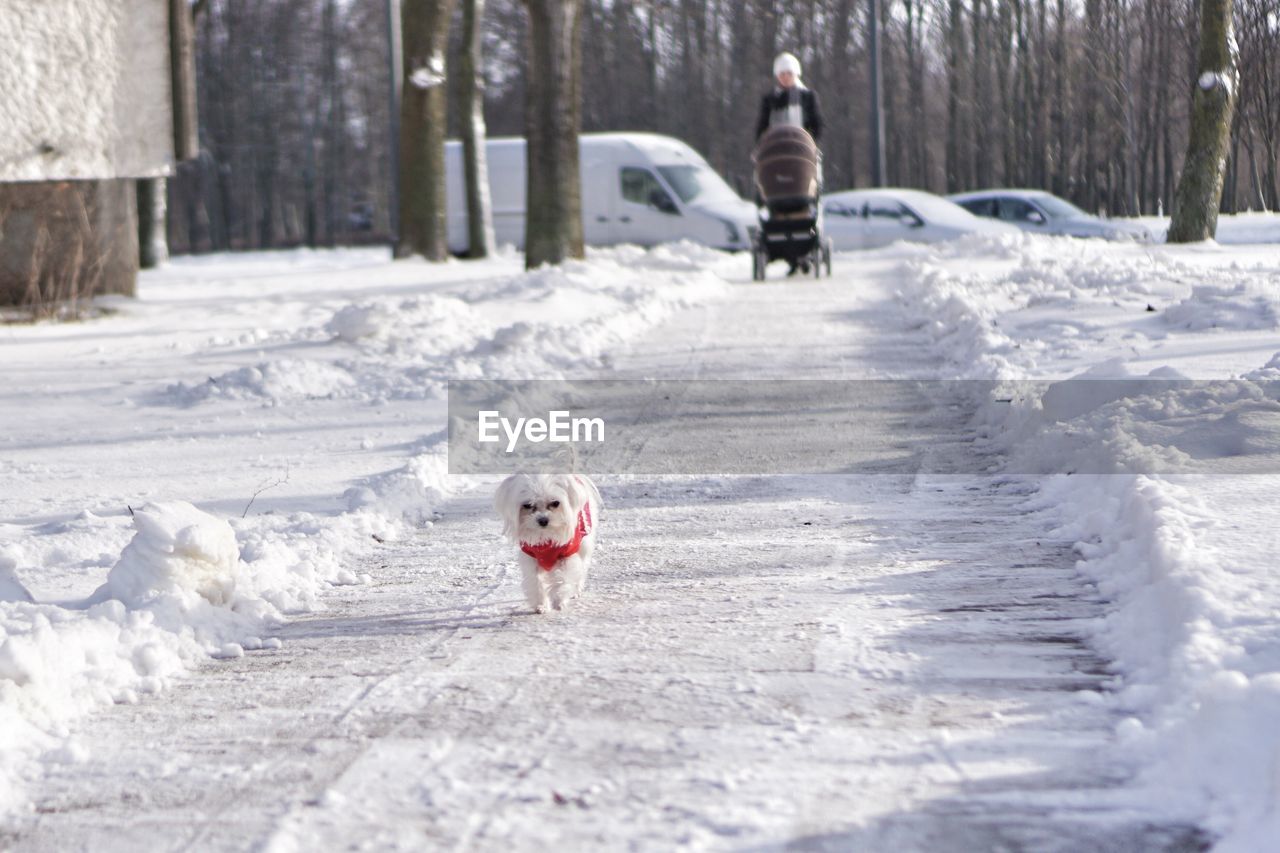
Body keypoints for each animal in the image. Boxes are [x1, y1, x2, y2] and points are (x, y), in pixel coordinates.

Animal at [494, 471, 604, 612]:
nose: (543, 520)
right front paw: (541, 604)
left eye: (555, 503)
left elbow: (563, 577)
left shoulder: (567, 554)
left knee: (582, 567)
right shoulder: (532, 558)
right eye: (528, 505)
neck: (546, 536)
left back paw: (576, 590)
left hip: (585, 544)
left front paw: (559, 600)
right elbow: (536, 582)